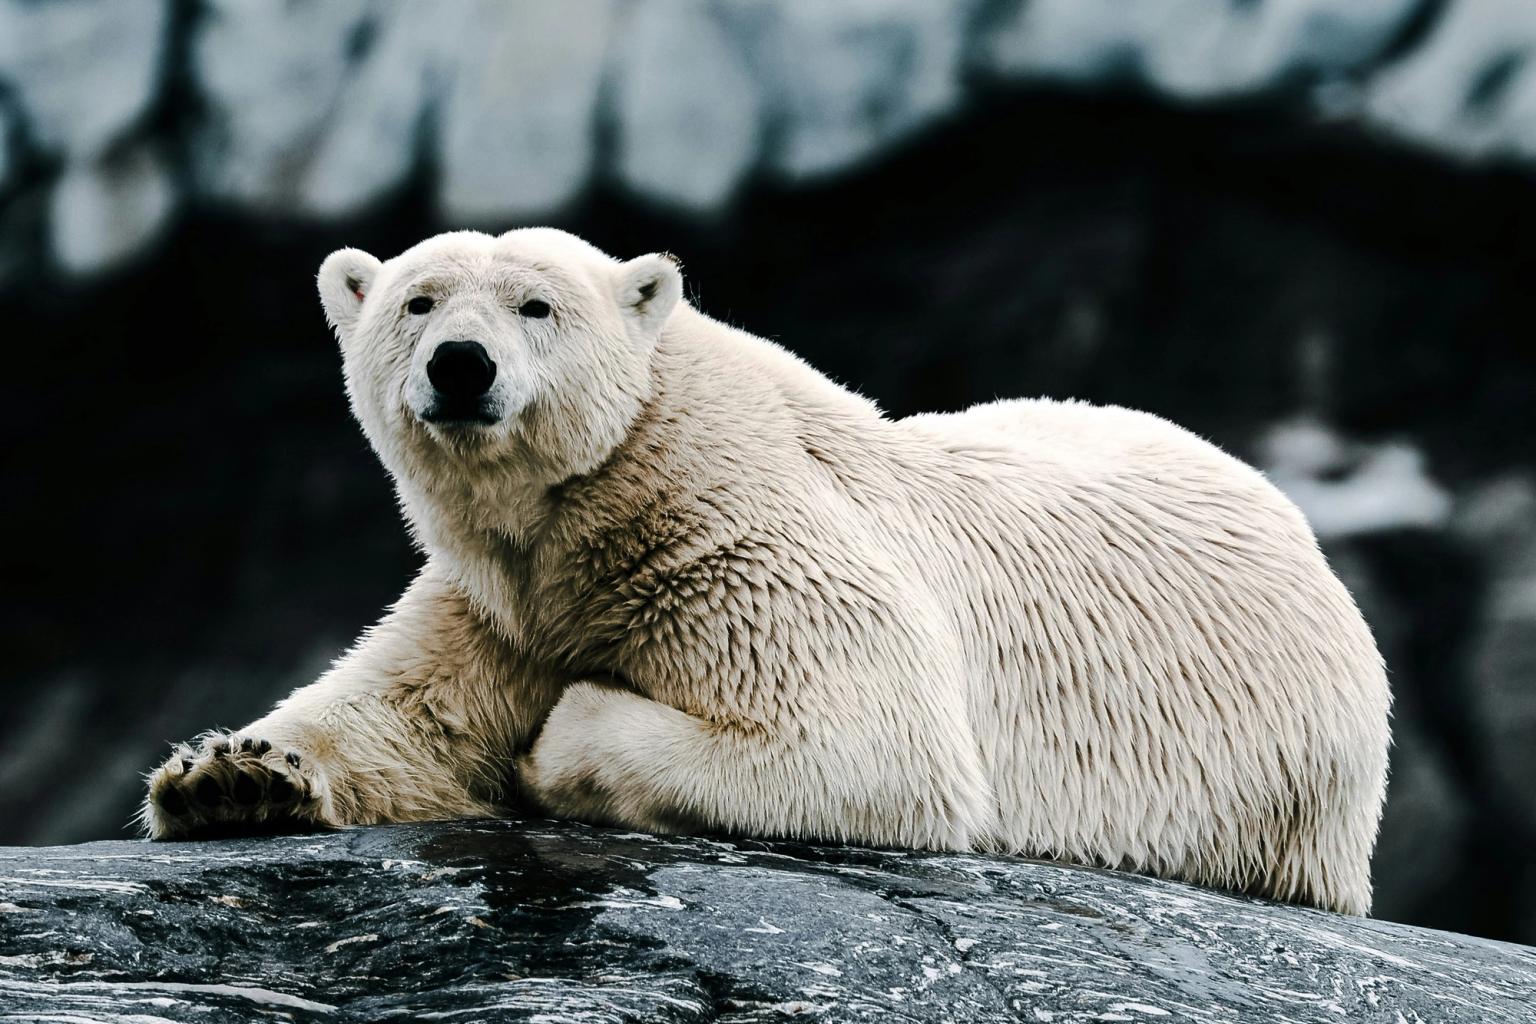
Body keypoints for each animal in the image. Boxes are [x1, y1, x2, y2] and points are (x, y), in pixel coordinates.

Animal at [142, 227, 1391, 915]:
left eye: (536, 304)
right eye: (418, 299)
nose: (460, 364)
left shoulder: (741, 541)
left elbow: (874, 746)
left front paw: (555, 740)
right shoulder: (499, 599)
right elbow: (403, 713)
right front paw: (230, 778)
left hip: (1278, 782)